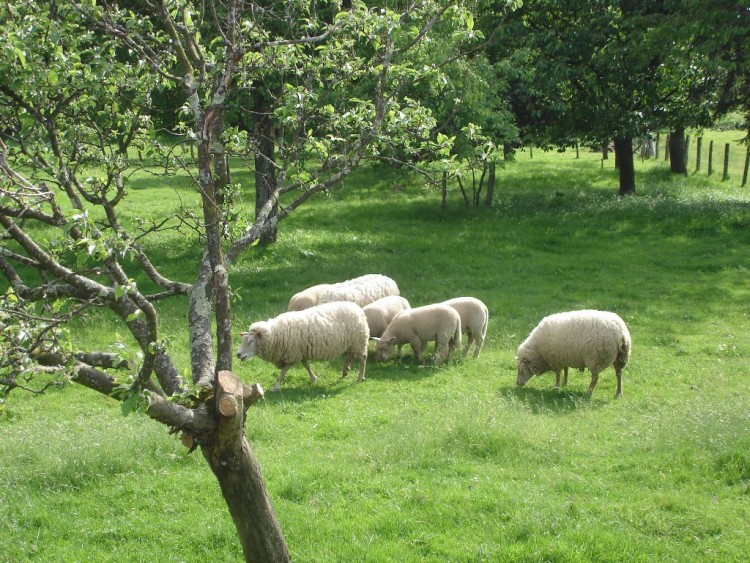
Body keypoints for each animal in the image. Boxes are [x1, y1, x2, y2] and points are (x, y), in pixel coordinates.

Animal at [238, 304, 370, 392]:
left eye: (250, 341)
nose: (238, 355)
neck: (275, 334)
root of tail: (359, 309)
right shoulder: (300, 352)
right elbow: (306, 365)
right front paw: (314, 378)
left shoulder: (292, 354)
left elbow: (283, 372)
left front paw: (276, 387)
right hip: (354, 341)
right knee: (352, 354)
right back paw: (345, 370)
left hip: (359, 339)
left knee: (362, 358)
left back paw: (360, 377)